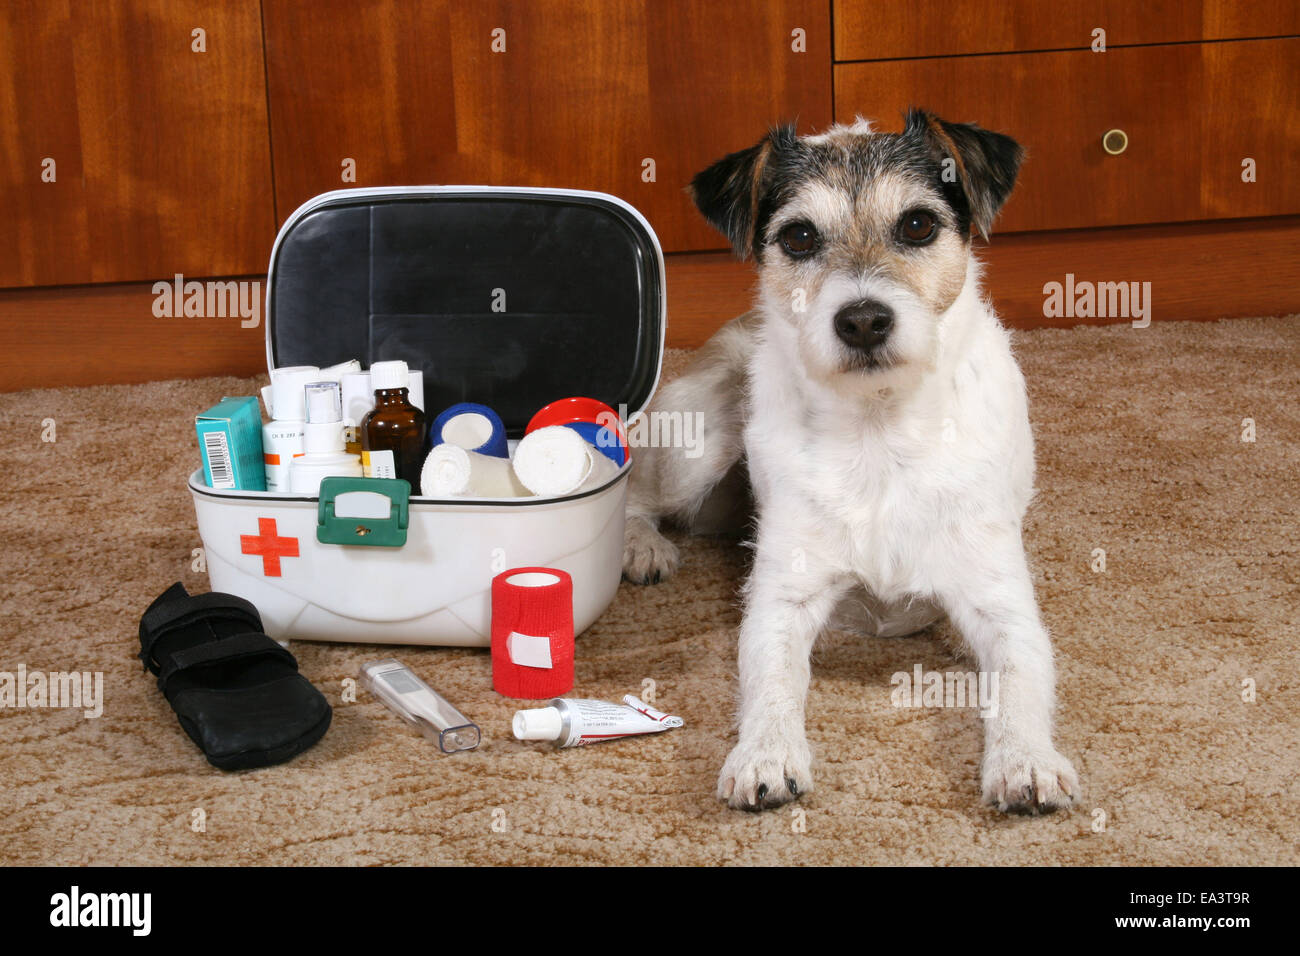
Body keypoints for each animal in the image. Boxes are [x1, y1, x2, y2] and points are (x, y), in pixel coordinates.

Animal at [618, 110, 1076, 816]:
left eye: (917, 224)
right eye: (799, 236)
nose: (862, 320)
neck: (880, 430)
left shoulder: (1003, 606)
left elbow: (1021, 680)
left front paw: (1026, 760)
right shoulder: (782, 600)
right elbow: (772, 683)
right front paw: (765, 754)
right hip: (702, 438)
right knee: (638, 492)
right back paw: (642, 547)